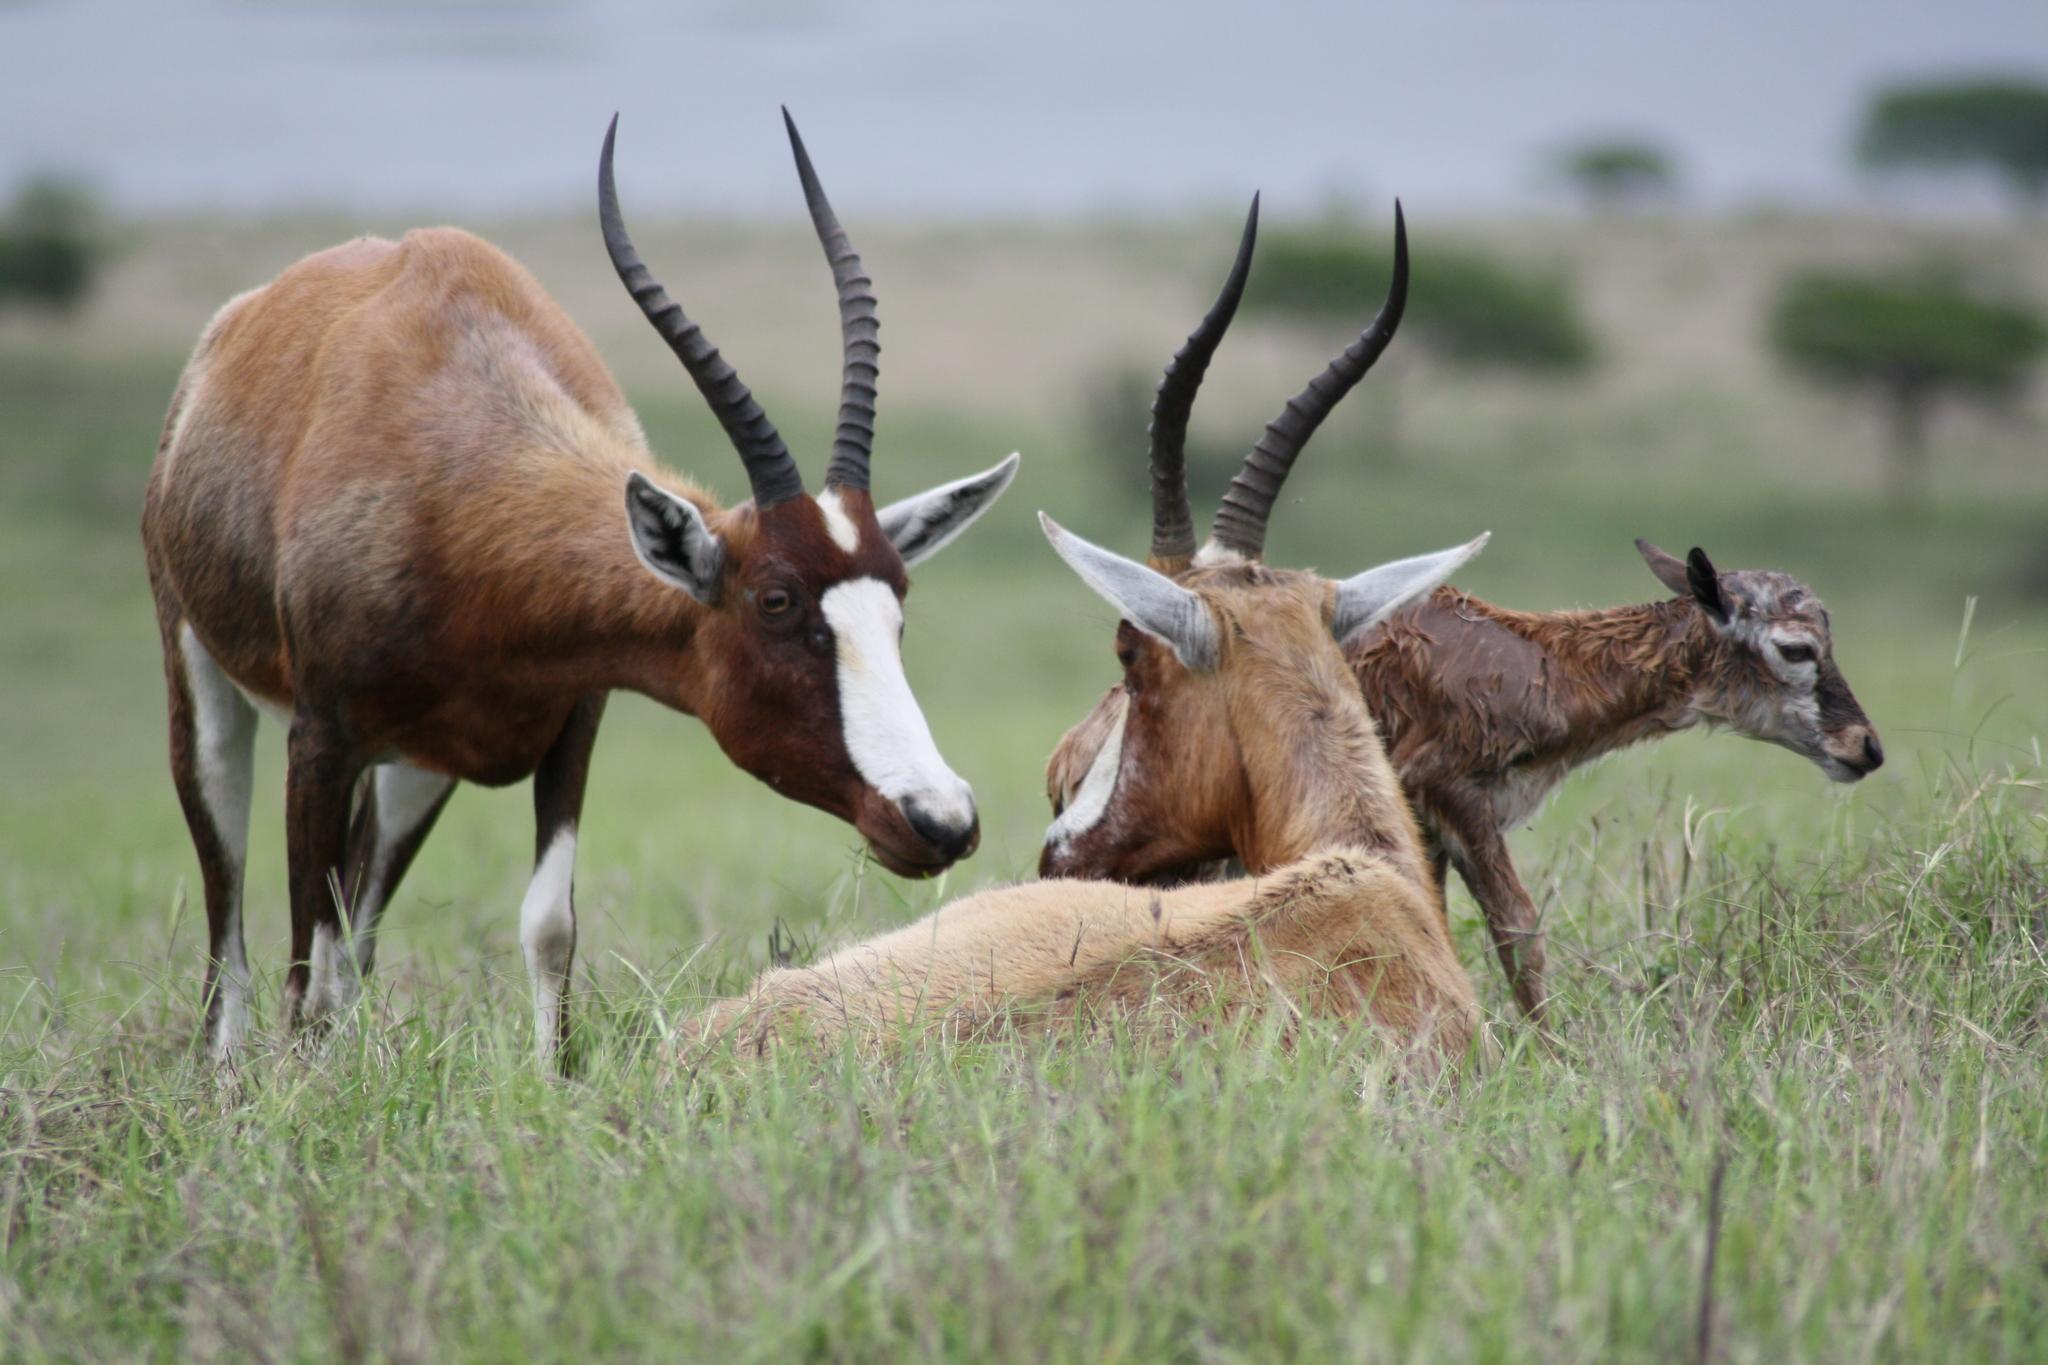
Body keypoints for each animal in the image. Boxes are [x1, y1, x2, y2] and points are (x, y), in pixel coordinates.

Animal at [143, 112, 1017, 1061]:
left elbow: (546, 923)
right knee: (235, 909)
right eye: (777, 600)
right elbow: (304, 951)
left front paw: (549, 1075)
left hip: (415, 769)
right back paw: (228, 1073)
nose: (941, 819)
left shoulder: (573, 723)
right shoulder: (321, 738)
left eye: (898, 604)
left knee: (357, 929)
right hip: (212, 696)